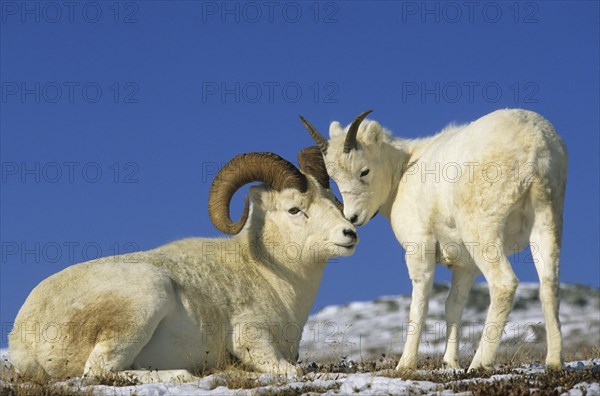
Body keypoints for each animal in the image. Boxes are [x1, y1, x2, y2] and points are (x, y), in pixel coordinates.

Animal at [8, 151, 356, 380]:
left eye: (332, 201)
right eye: (295, 209)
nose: (349, 233)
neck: (270, 274)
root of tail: (22, 338)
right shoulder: (251, 338)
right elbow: (291, 369)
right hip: (148, 296)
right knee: (99, 371)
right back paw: (184, 374)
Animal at [302, 109, 568, 372]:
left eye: (364, 171)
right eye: (335, 178)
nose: (353, 218)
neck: (402, 171)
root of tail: (534, 143)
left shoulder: (419, 250)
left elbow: (418, 306)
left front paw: (405, 365)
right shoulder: (464, 266)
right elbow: (453, 306)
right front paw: (450, 363)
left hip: (483, 234)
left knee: (504, 284)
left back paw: (479, 364)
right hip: (546, 222)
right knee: (549, 286)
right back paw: (554, 363)